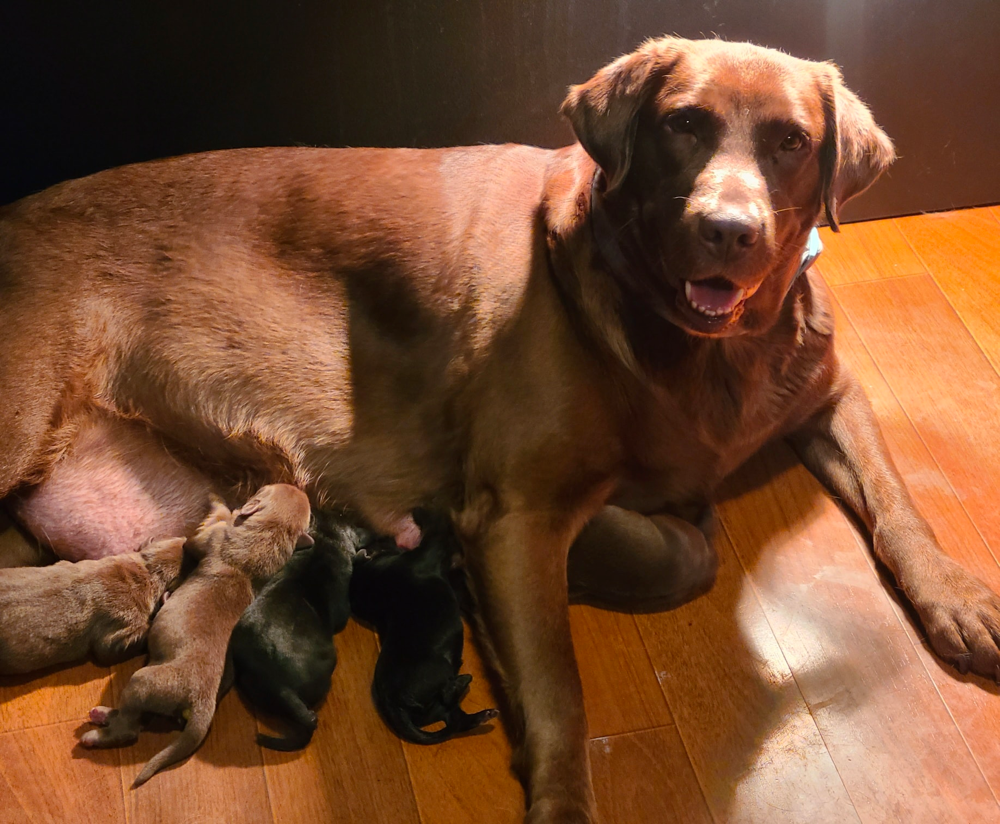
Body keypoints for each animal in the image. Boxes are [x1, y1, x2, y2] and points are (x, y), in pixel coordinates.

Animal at [80, 486, 310, 788]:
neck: (268, 537)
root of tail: (202, 704)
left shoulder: (208, 538)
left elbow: (204, 530)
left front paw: (218, 502)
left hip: (143, 682)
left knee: (129, 728)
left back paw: (95, 734)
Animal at [350, 512, 498, 744]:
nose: (382, 536)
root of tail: (395, 704)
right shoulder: (430, 548)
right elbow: (439, 532)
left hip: (442, 710)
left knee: (459, 720)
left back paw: (482, 711)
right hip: (439, 669)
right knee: (448, 693)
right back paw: (464, 681)